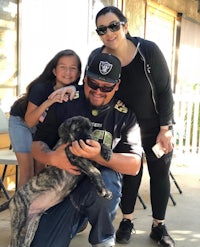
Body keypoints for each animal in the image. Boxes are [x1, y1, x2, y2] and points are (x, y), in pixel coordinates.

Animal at [9, 116, 112, 247]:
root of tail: (13, 199)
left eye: (90, 128)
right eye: (78, 129)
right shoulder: (73, 155)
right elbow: (96, 171)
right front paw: (104, 191)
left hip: (30, 226)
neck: (68, 139)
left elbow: (99, 146)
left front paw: (106, 150)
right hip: (19, 222)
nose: (89, 138)